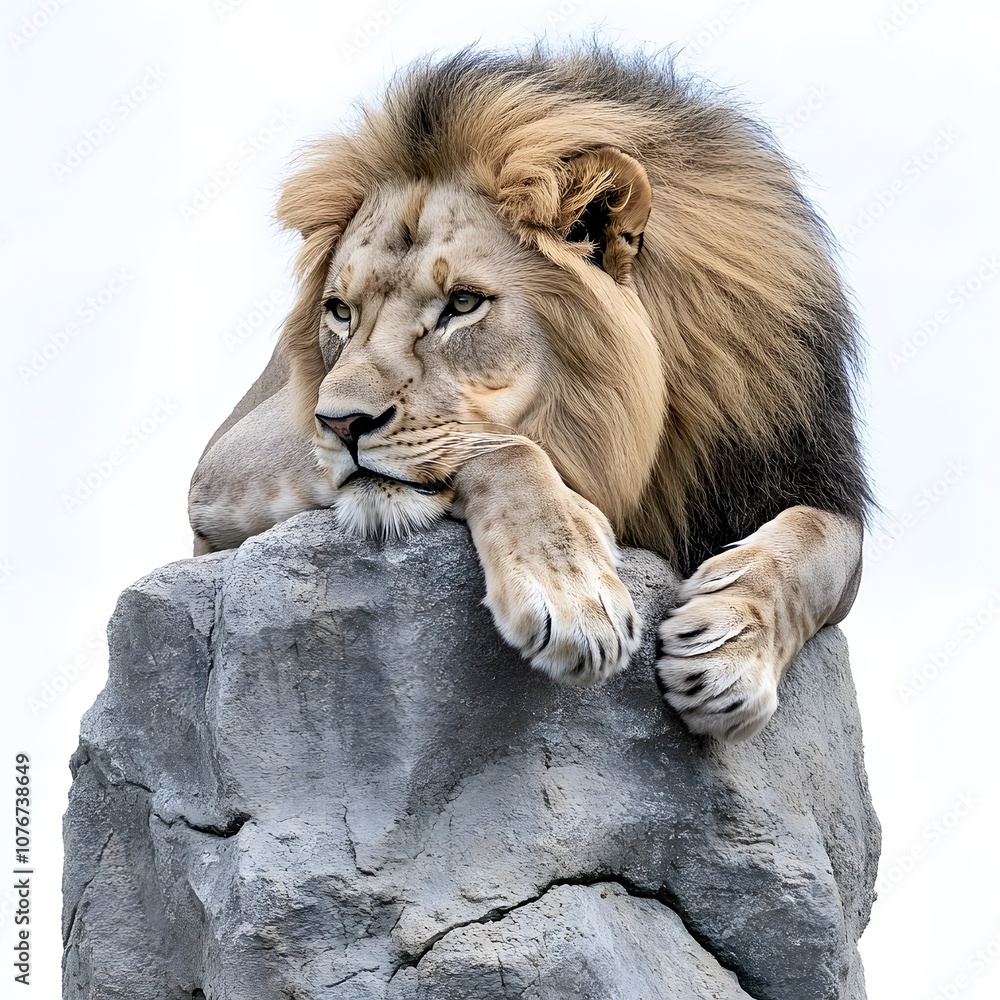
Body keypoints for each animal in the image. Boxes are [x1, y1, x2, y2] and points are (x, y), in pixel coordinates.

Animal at [189, 48, 871, 741]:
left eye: (463, 304)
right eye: (340, 312)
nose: (341, 424)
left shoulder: (799, 469)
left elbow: (825, 542)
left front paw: (727, 655)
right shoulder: (223, 466)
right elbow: (507, 447)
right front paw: (573, 595)